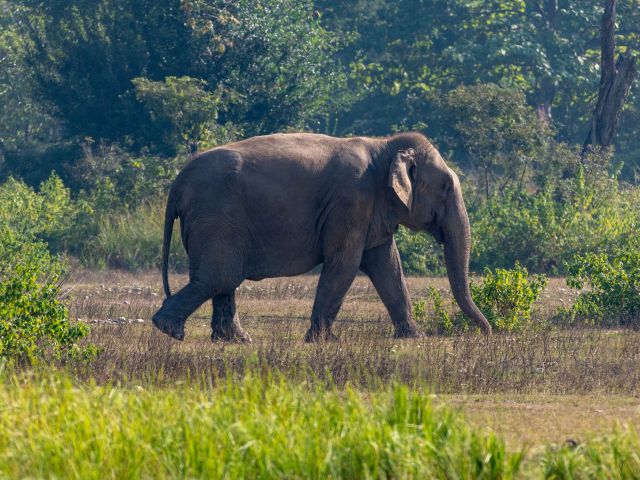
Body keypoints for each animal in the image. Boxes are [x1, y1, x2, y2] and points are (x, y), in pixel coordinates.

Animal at [151, 132, 491, 342]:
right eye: (445, 187)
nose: (487, 332)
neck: (383, 145)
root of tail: (177, 183)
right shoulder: (350, 202)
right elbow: (345, 264)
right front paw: (323, 341)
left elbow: (387, 266)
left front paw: (413, 337)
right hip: (217, 217)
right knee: (219, 276)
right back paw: (170, 330)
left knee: (223, 279)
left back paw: (236, 341)